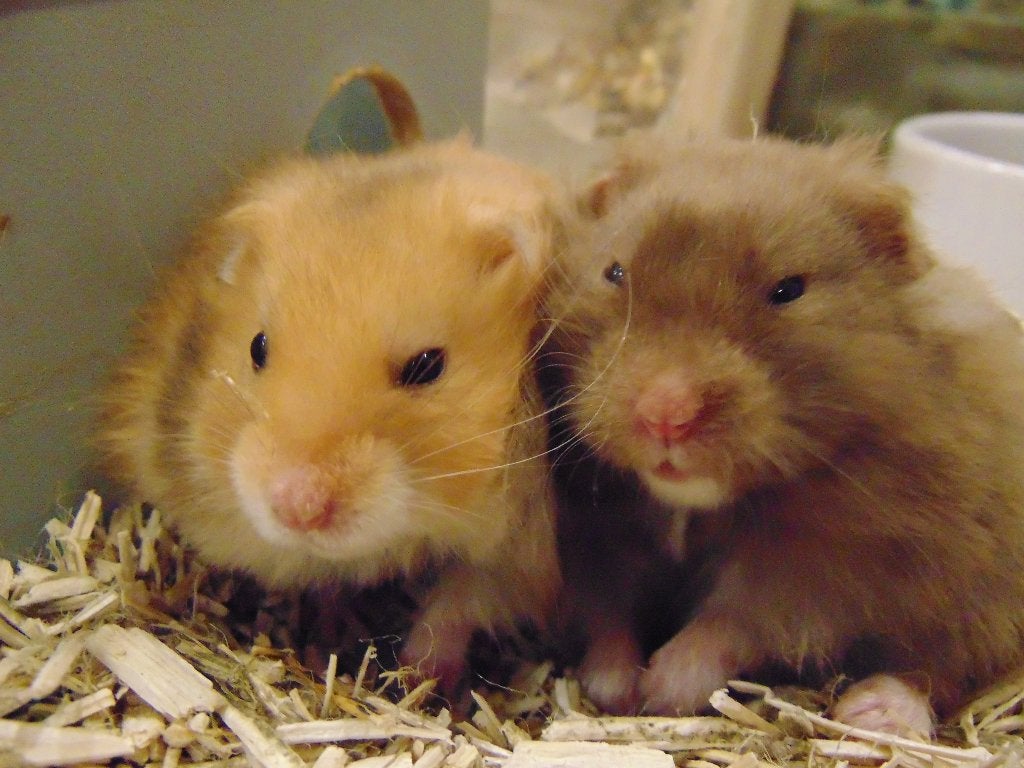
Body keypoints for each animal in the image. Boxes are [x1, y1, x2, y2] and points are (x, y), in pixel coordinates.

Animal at [98, 139, 563, 690]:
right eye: (257, 348)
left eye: (427, 365)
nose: (296, 509)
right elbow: (325, 587)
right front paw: (330, 644)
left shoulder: (519, 554)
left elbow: (458, 605)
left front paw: (416, 678)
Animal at [545, 133, 1024, 730]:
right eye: (613, 272)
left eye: (789, 289)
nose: (665, 414)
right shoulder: (599, 535)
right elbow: (611, 612)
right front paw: (617, 690)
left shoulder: (829, 567)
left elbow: (737, 620)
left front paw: (664, 689)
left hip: (985, 595)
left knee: (942, 667)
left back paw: (873, 712)